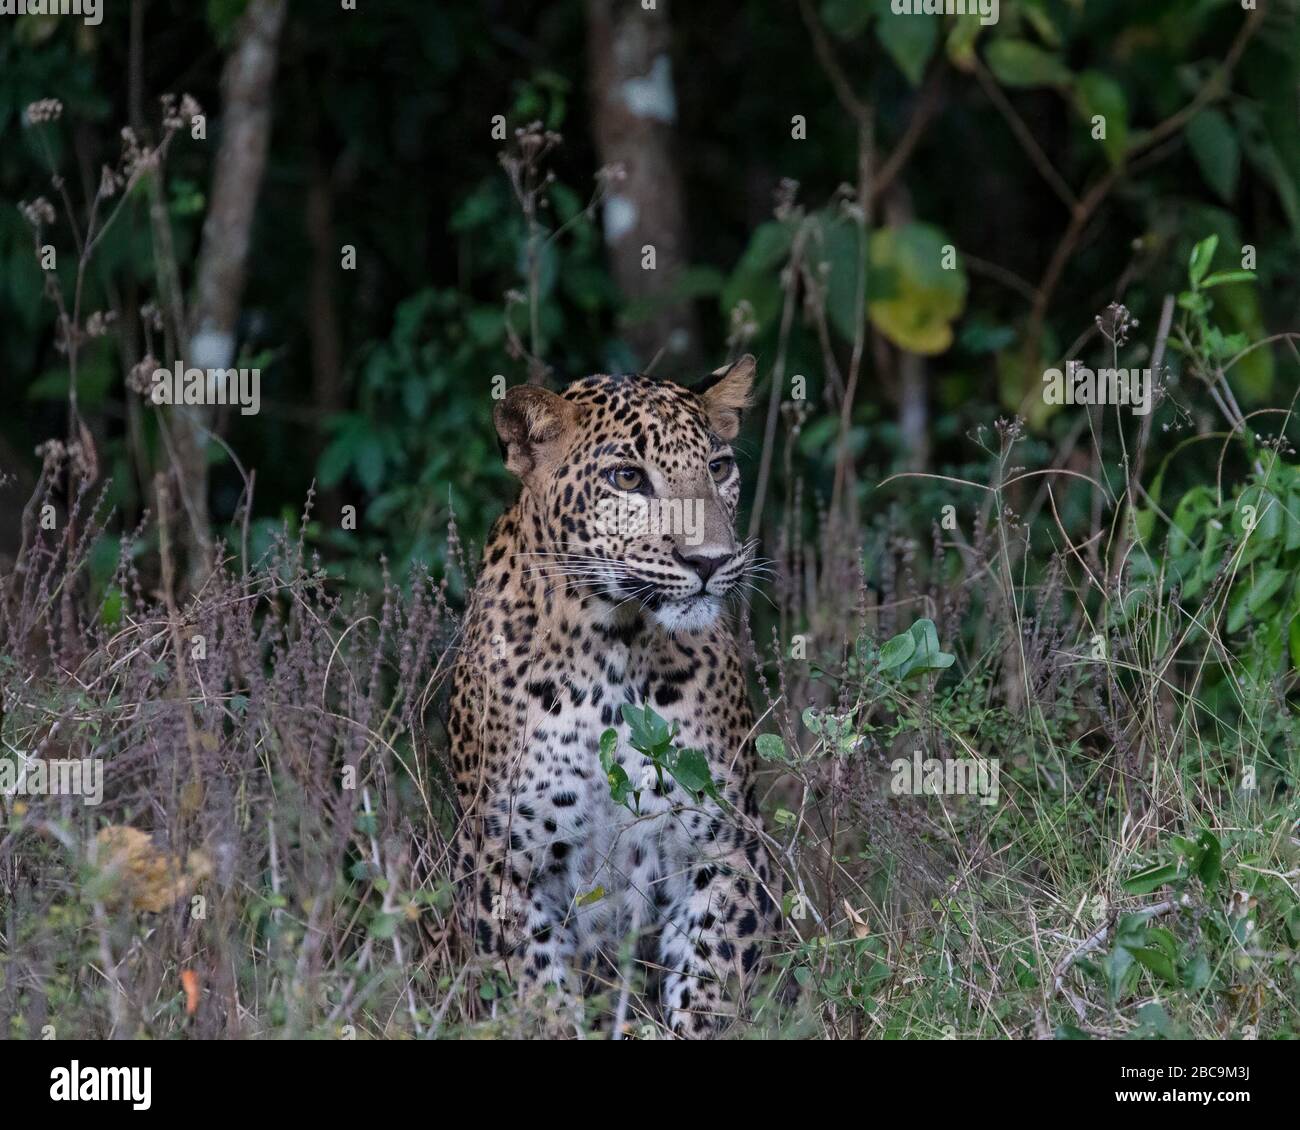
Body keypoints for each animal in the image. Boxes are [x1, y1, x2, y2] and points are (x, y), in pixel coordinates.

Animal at [446, 355, 778, 1038]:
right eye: (627, 478)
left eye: (719, 467)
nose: (711, 561)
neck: (613, 645)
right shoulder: (505, 865)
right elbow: (539, 997)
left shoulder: (726, 845)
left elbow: (710, 979)